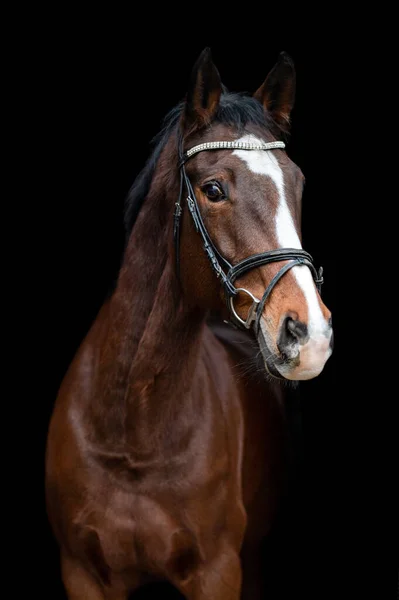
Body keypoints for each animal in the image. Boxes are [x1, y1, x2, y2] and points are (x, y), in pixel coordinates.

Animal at [45, 48, 334, 600]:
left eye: (299, 183)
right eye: (213, 189)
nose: (309, 335)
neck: (132, 431)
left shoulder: (219, 571)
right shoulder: (82, 572)